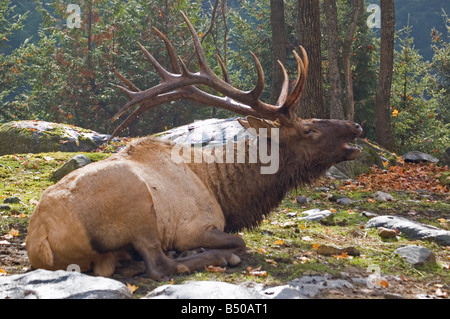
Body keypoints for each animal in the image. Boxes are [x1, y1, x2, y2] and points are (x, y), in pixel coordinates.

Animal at [25, 11, 362, 280]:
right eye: (309, 129)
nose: (355, 126)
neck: (225, 193)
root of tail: (40, 241)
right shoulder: (195, 226)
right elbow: (239, 241)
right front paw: (211, 251)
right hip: (136, 205)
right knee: (158, 264)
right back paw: (208, 258)